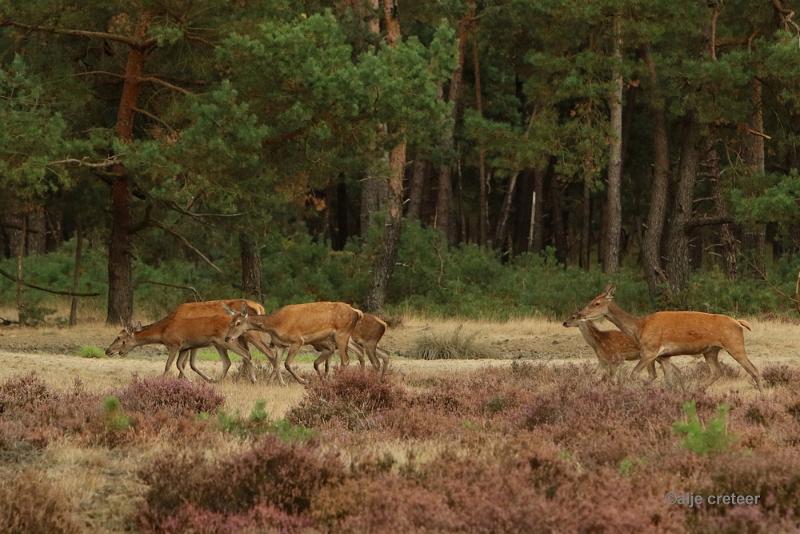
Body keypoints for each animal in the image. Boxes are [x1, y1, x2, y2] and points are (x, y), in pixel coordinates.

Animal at [225, 302, 362, 386]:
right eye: (230, 322)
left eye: (238, 323)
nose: (227, 338)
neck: (275, 325)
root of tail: (356, 312)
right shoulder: (280, 345)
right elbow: (277, 364)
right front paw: (276, 383)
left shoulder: (298, 340)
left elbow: (287, 364)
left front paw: (304, 381)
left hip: (342, 334)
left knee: (346, 360)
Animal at [576, 286, 764, 392]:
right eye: (591, 300)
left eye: (597, 303)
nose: (579, 314)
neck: (639, 328)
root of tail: (739, 323)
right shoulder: (664, 356)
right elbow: (669, 381)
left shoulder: (650, 351)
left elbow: (633, 374)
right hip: (711, 350)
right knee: (717, 371)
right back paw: (697, 391)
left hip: (734, 344)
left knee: (754, 370)